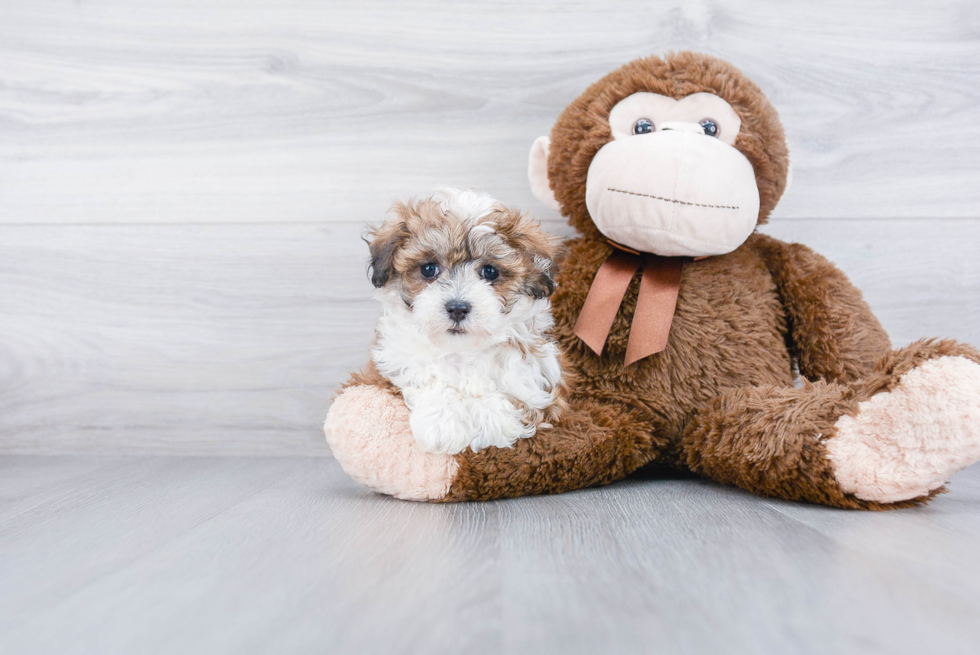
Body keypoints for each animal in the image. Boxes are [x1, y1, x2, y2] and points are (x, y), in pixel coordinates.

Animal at [366, 188, 568, 456]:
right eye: (428, 269)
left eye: (490, 272)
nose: (457, 308)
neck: (462, 352)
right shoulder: (393, 362)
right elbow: (426, 377)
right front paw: (442, 425)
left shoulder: (540, 394)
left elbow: (501, 405)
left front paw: (478, 419)